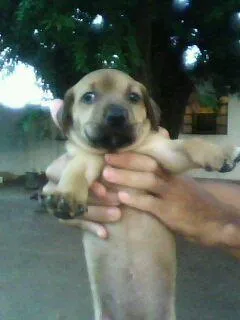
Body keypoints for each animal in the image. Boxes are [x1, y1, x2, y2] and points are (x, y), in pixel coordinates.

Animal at [42, 70, 240, 320]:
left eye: (134, 97)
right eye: (88, 97)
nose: (117, 116)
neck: (115, 150)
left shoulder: (164, 152)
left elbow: (190, 144)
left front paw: (220, 154)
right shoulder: (84, 159)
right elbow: (74, 173)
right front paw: (66, 196)